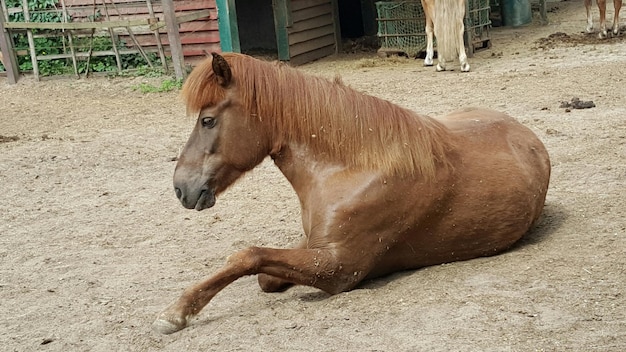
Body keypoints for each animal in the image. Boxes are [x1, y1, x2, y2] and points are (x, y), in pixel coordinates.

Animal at [154, 51, 548, 332]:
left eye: (208, 120)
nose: (181, 187)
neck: (351, 168)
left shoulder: (337, 268)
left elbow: (247, 256)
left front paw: (175, 312)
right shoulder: (312, 244)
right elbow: (264, 274)